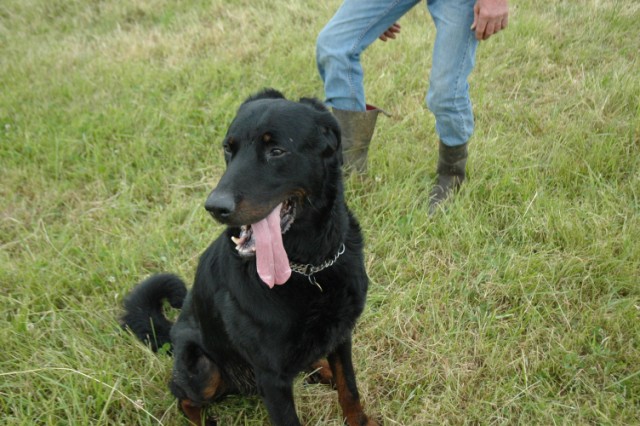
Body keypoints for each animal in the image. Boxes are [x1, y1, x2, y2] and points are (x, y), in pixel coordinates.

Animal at [121, 90, 376, 426]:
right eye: (228, 149)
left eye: (277, 151)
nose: (215, 207)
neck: (308, 267)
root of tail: (173, 333)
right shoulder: (271, 376)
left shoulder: (341, 335)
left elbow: (349, 388)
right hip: (203, 369)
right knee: (182, 396)